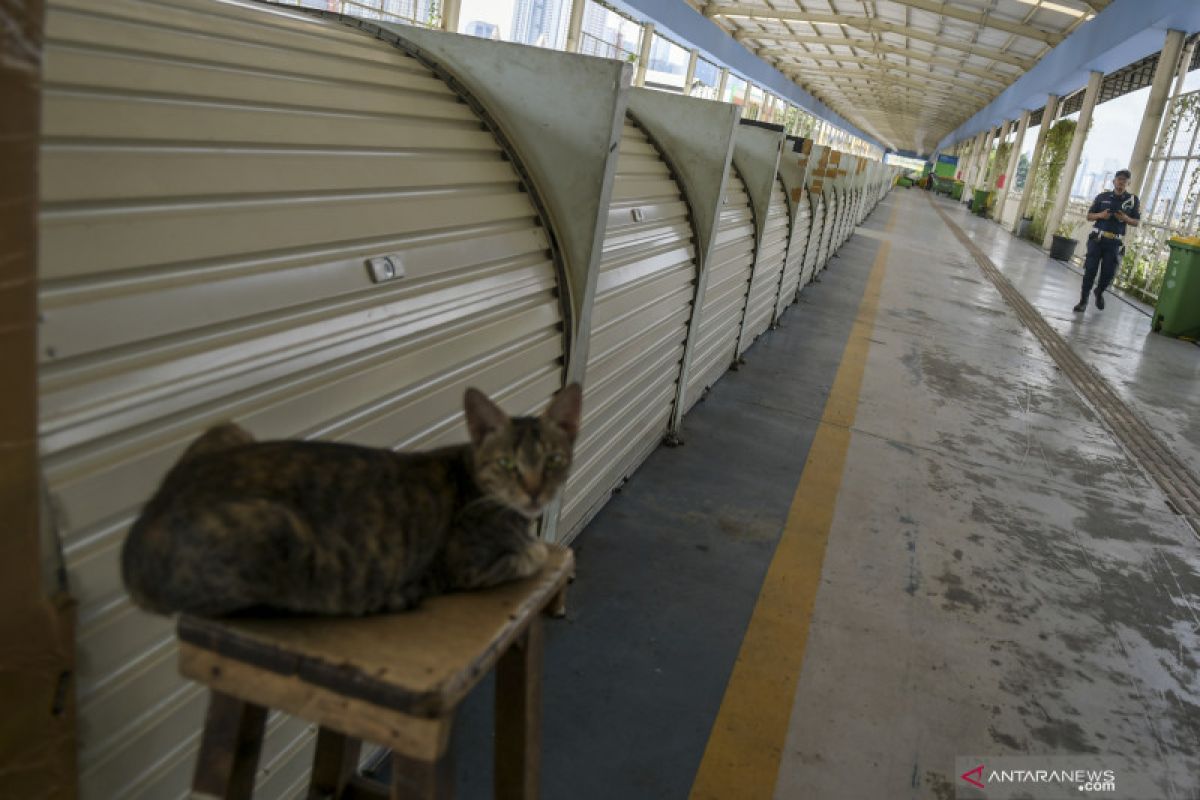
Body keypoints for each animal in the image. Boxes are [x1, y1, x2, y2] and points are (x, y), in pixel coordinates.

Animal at [120, 383, 580, 618]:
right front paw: (536, 547)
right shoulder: (469, 565)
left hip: (228, 429)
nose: (535, 492)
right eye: (507, 463)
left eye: (554, 460)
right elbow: (535, 552)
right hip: (282, 534)